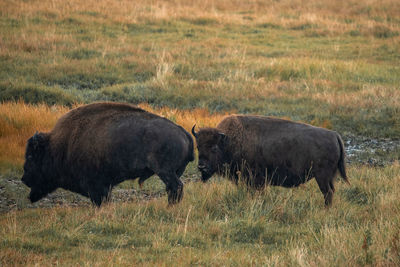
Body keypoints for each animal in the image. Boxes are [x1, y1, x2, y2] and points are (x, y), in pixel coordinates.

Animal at [21, 101, 195, 206]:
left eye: (30, 156)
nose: (24, 179)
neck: (60, 145)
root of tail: (183, 132)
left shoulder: (96, 186)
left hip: (165, 171)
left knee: (176, 187)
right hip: (174, 172)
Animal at [192, 115, 348, 207]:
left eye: (214, 148)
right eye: (198, 146)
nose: (201, 166)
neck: (229, 141)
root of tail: (334, 135)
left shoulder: (255, 179)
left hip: (322, 176)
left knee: (327, 192)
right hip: (328, 177)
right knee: (331, 191)